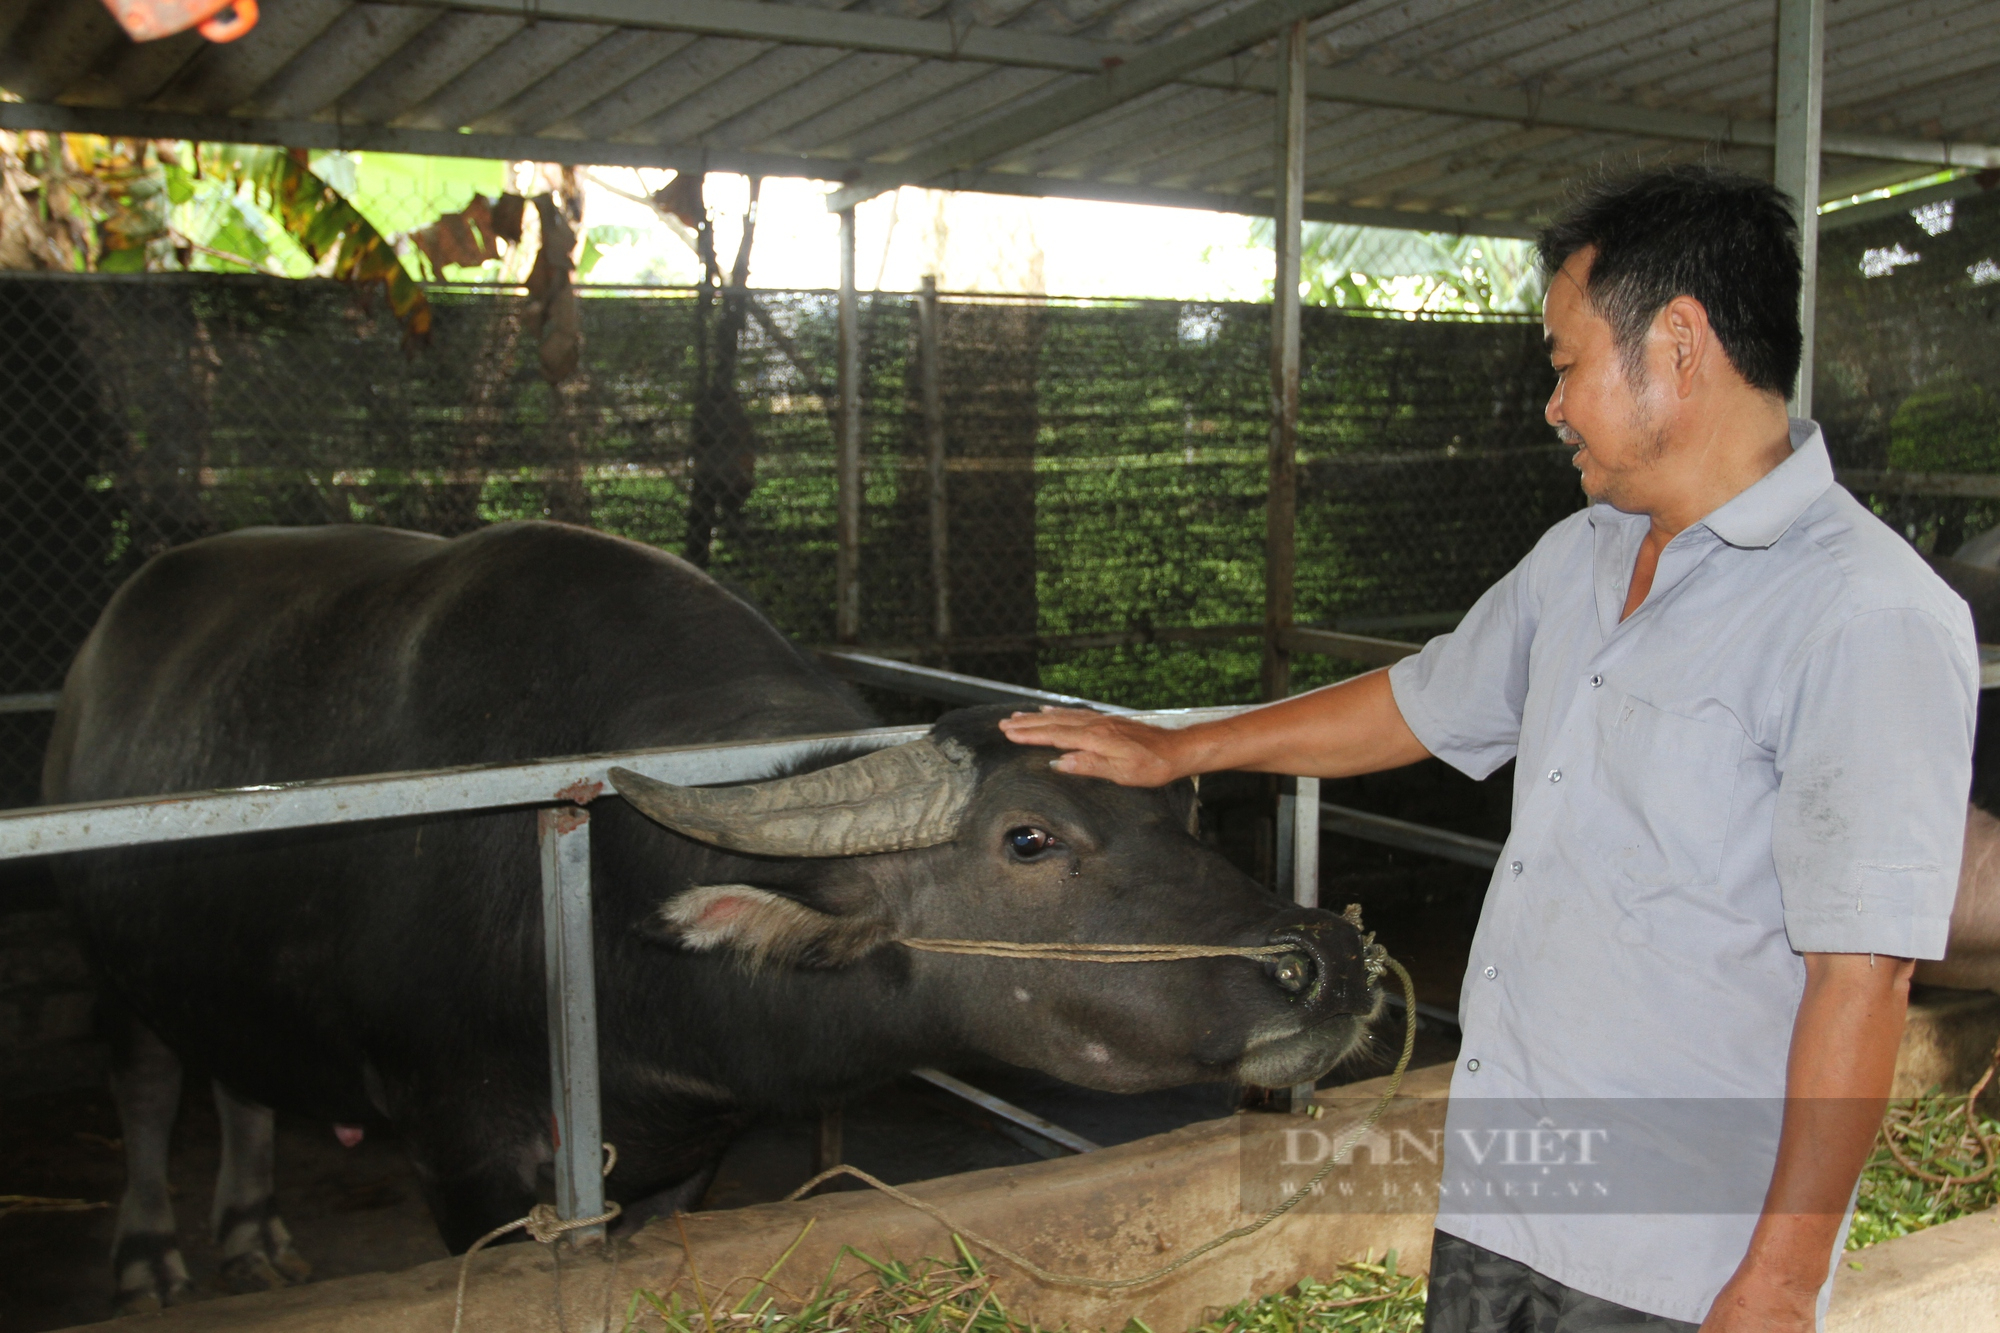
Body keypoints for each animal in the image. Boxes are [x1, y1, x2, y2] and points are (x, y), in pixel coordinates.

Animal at [50, 520, 1392, 1304]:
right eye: (1028, 839)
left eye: (1182, 810)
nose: (1326, 959)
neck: (602, 930)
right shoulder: (466, 1159)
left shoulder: (677, 1163)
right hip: (106, 962)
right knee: (148, 1077)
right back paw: (152, 1254)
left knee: (239, 1075)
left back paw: (250, 1229)